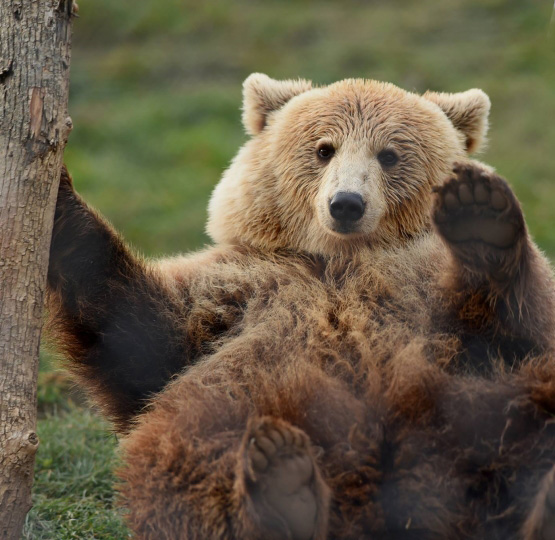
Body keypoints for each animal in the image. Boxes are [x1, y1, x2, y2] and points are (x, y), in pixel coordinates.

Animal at [46, 75, 555, 540]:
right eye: (323, 149)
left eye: (389, 154)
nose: (346, 203)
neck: (339, 259)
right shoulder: (241, 292)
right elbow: (132, 326)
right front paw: (59, 192)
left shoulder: (424, 286)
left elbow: (522, 317)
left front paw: (479, 213)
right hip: (228, 409)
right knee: (190, 457)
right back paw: (282, 484)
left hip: (473, 409)